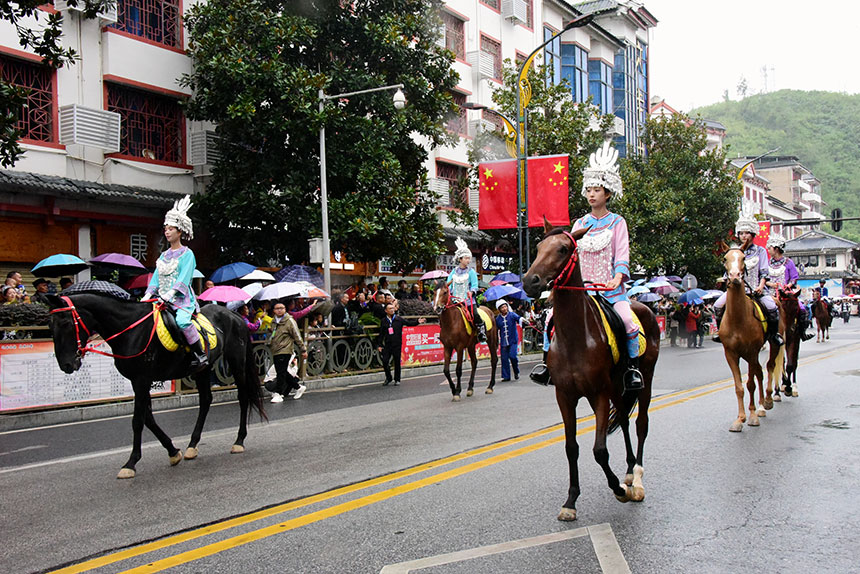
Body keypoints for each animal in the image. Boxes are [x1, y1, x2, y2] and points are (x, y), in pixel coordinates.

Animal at [46, 292, 262, 482]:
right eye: (50, 324)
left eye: (66, 323)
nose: (66, 365)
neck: (130, 330)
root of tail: (234, 315)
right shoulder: (139, 381)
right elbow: (148, 418)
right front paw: (173, 452)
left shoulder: (142, 380)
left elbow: (137, 421)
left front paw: (130, 464)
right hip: (203, 369)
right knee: (206, 401)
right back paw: (192, 445)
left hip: (236, 361)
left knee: (243, 397)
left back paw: (239, 441)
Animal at [520, 224, 660, 520]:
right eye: (537, 248)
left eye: (563, 249)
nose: (530, 282)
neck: (576, 336)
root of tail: (642, 305)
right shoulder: (565, 396)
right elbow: (571, 448)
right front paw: (571, 500)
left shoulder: (598, 394)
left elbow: (599, 451)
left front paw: (619, 490)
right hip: (618, 387)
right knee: (626, 421)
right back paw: (628, 470)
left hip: (645, 379)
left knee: (641, 424)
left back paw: (637, 479)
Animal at [724, 248, 784, 432]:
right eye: (725, 259)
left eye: (743, 258)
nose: (735, 276)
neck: (738, 318)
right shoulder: (730, 353)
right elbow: (739, 387)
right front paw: (739, 419)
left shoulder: (751, 351)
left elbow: (750, 384)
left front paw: (751, 417)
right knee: (759, 371)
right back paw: (762, 406)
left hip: (772, 344)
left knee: (769, 366)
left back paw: (768, 401)